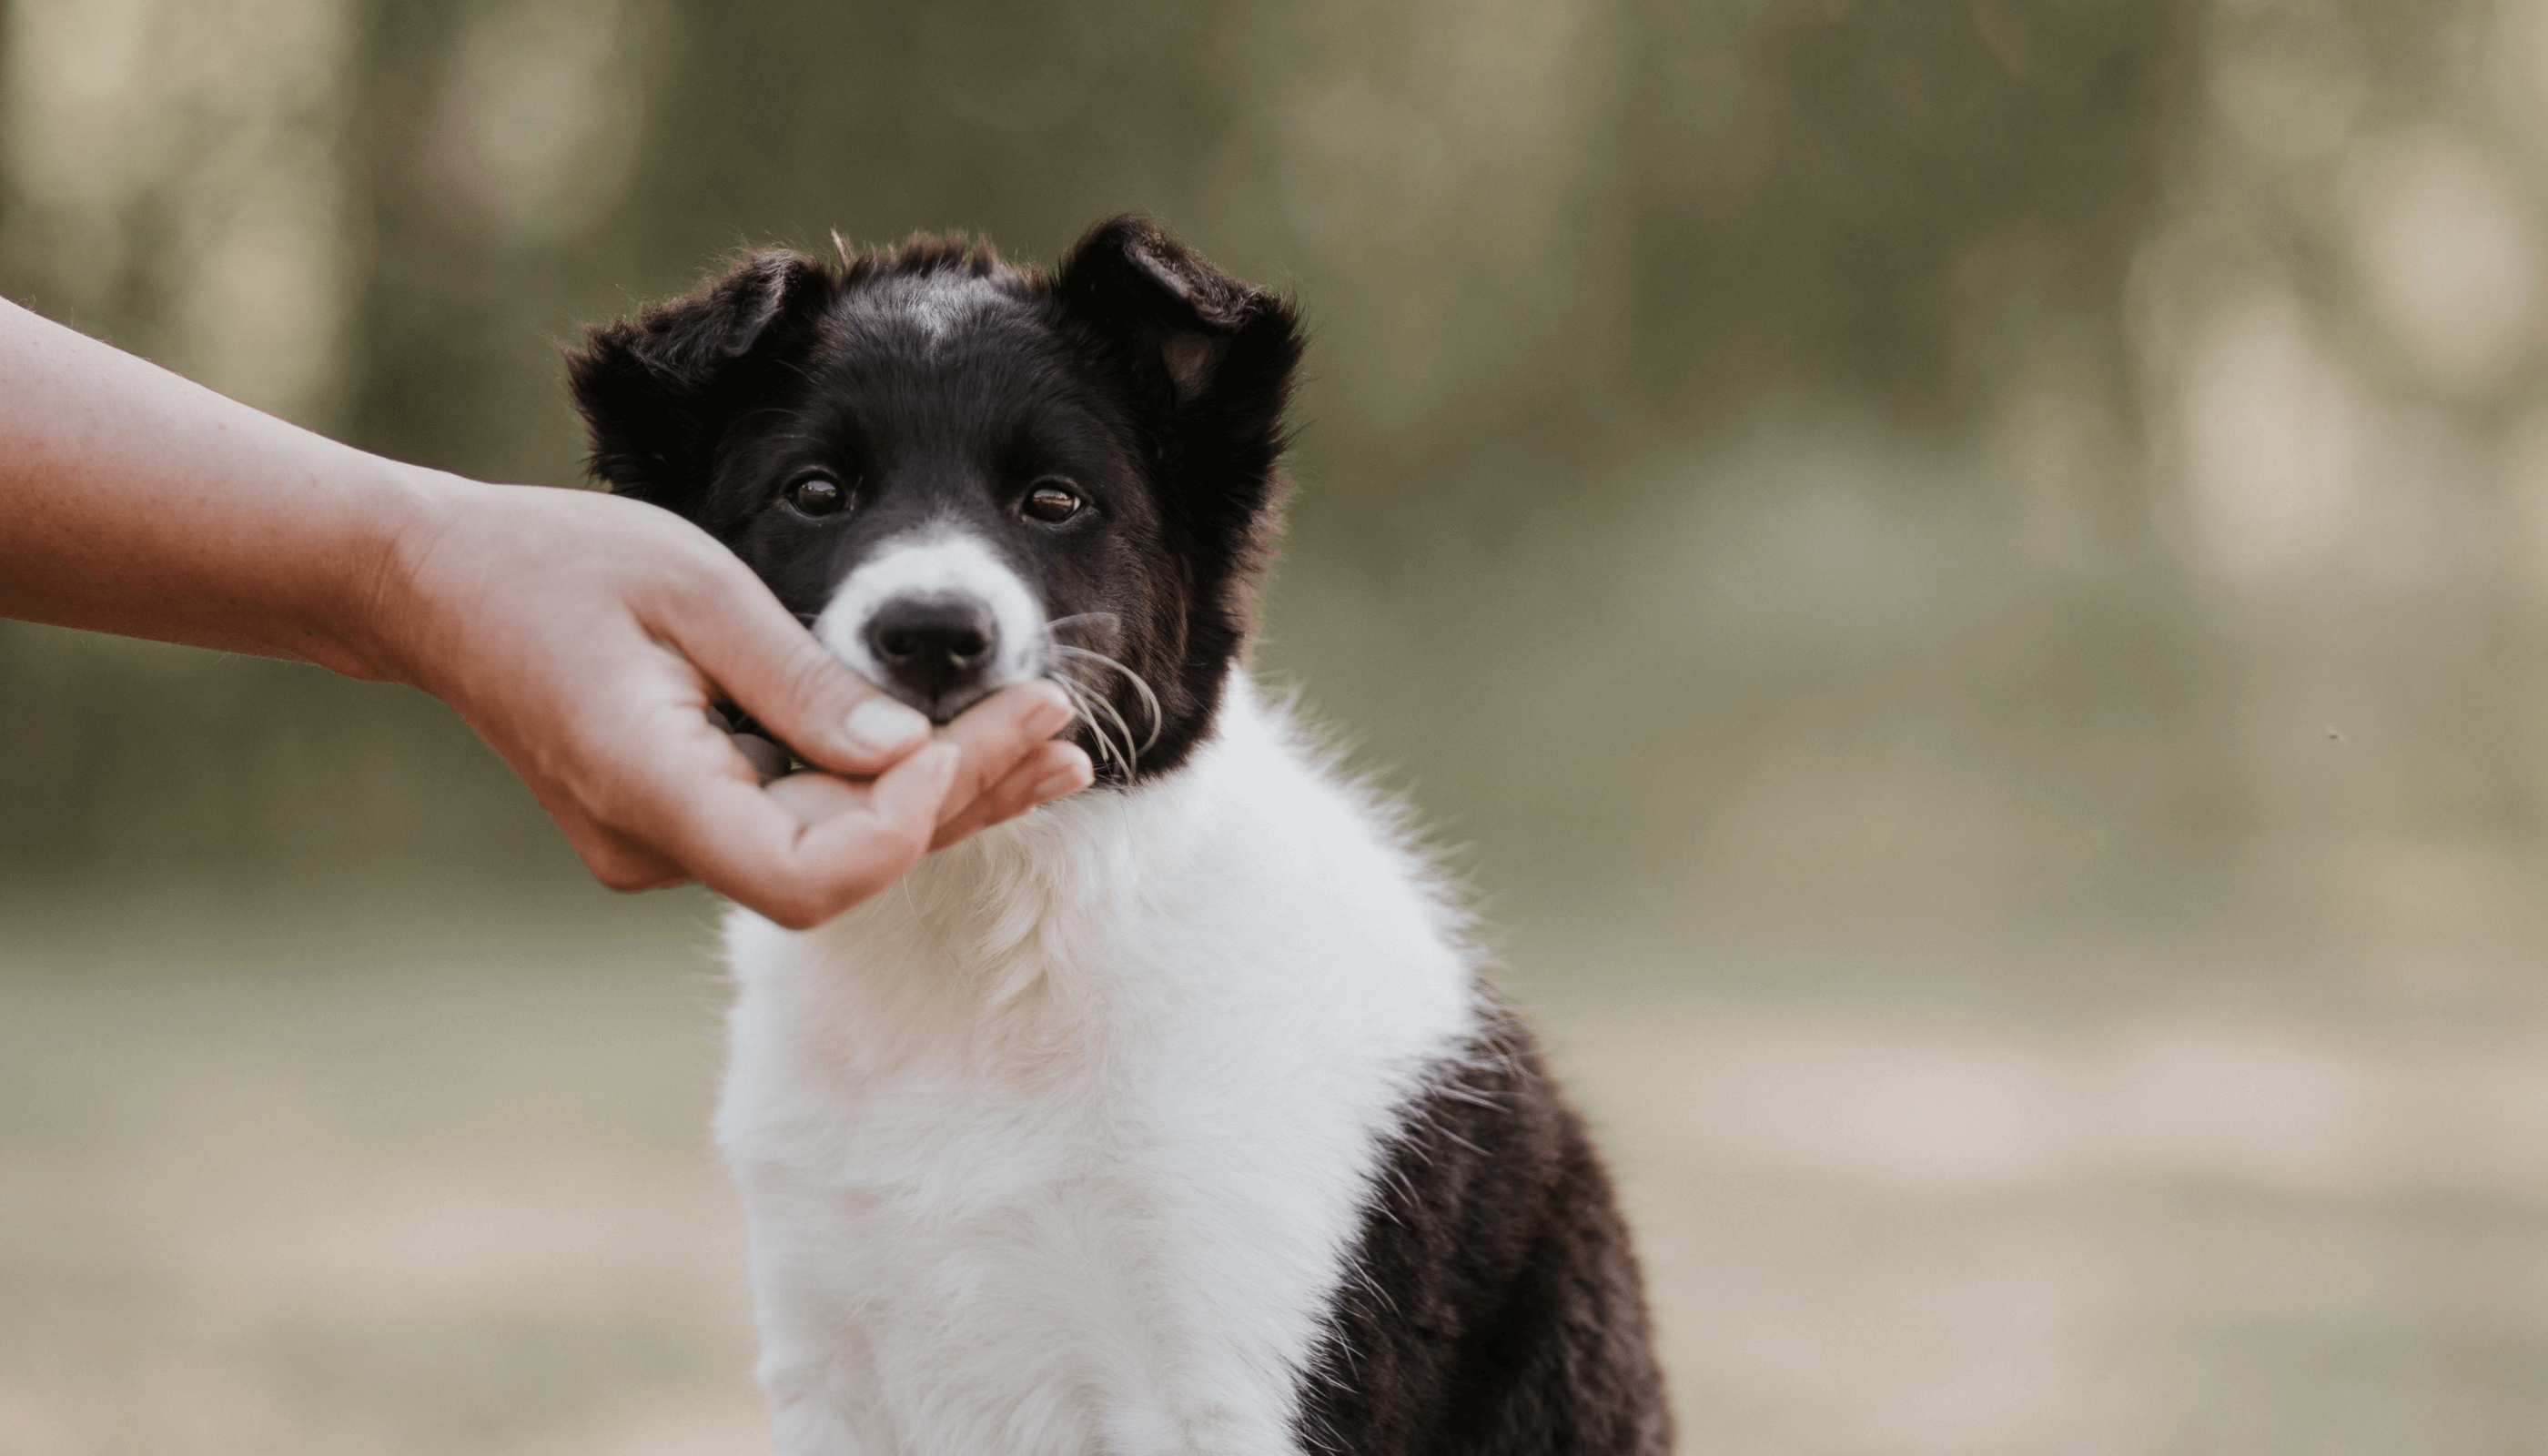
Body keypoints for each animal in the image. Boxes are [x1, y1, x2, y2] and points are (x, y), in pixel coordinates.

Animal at [568, 217, 1671, 1456]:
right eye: (814, 491)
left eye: (1054, 500)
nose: (934, 635)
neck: (981, 944)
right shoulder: (826, 1359)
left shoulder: (1220, 1369)